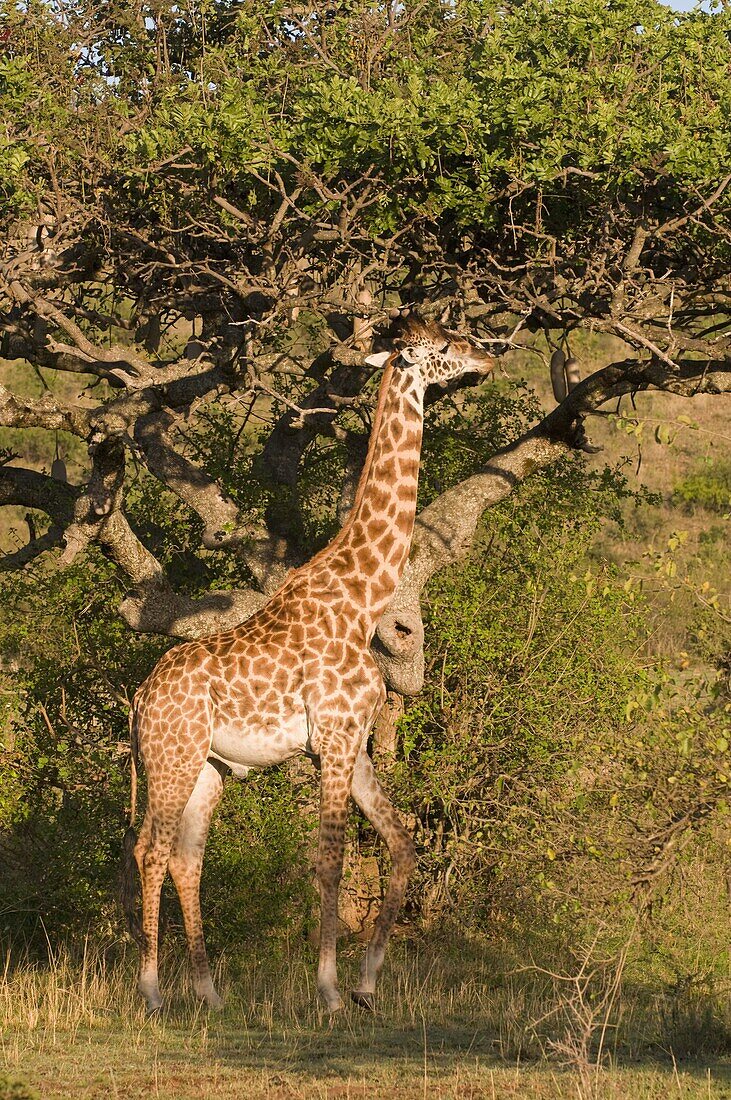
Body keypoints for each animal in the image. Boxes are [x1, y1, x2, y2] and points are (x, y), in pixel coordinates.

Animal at [122, 316, 492, 1012]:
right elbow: (330, 859)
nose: (484, 358)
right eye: (440, 347)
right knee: (148, 847)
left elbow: (401, 844)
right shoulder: (336, 737)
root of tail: (139, 697)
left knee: (186, 856)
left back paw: (210, 993)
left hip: (210, 768)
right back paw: (152, 991)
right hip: (171, 757)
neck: (364, 595)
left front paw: (368, 982)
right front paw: (328, 988)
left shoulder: (353, 742)